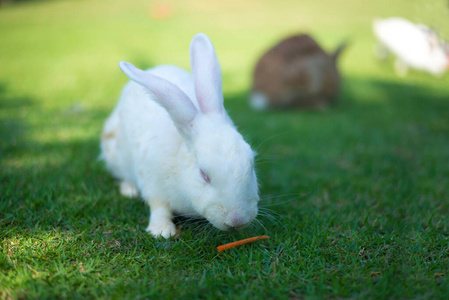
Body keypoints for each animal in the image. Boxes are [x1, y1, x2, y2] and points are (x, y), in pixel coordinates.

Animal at [99, 33, 258, 239]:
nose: (237, 220)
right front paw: (161, 231)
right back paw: (129, 190)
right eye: (203, 174)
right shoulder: (153, 184)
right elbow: (159, 208)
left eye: (251, 165)